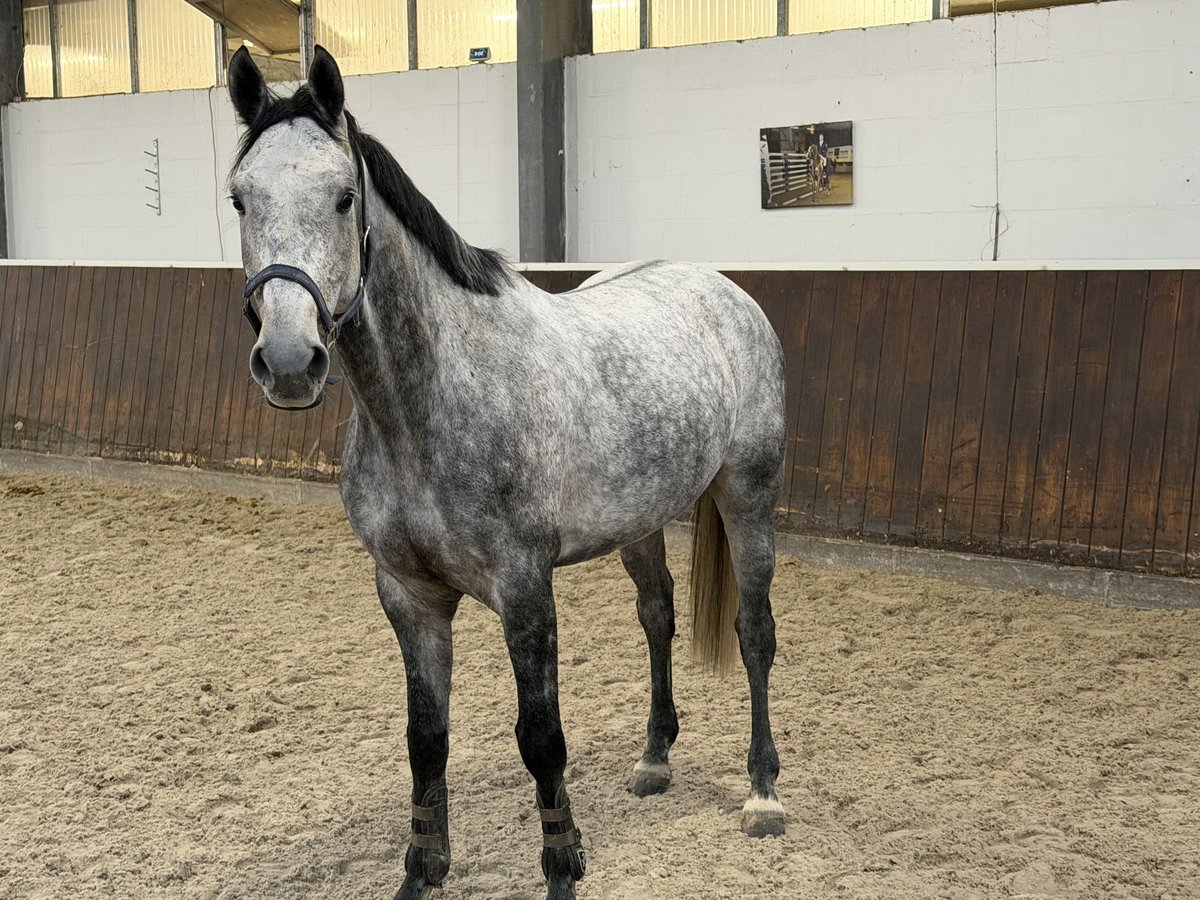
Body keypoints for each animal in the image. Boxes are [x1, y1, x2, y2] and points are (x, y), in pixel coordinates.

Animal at [225, 46, 786, 899]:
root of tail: (725, 292)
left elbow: (542, 737)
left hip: (748, 495)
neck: (429, 405)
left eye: (343, 196)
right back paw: (654, 758)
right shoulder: (410, 595)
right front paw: (421, 873)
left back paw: (762, 793)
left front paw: (563, 866)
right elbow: (426, 738)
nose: (290, 361)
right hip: (642, 520)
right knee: (657, 617)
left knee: (754, 633)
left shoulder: (525, 589)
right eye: (239, 199)